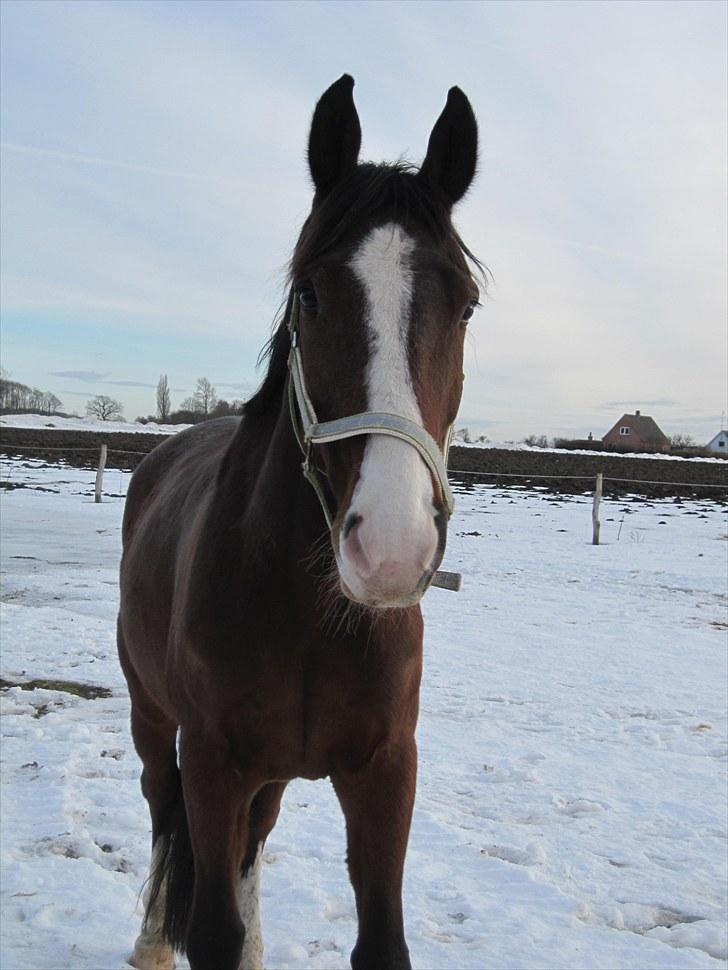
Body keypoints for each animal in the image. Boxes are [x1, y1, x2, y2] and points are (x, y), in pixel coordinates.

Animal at [118, 72, 484, 964]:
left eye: (464, 305)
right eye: (310, 293)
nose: (390, 548)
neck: (311, 613)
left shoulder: (385, 769)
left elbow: (379, 941)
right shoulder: (213, 761)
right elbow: (211, 928)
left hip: (274, 772)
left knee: (254, 842)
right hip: (152, 718)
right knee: (158, 807)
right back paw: (149, 941)